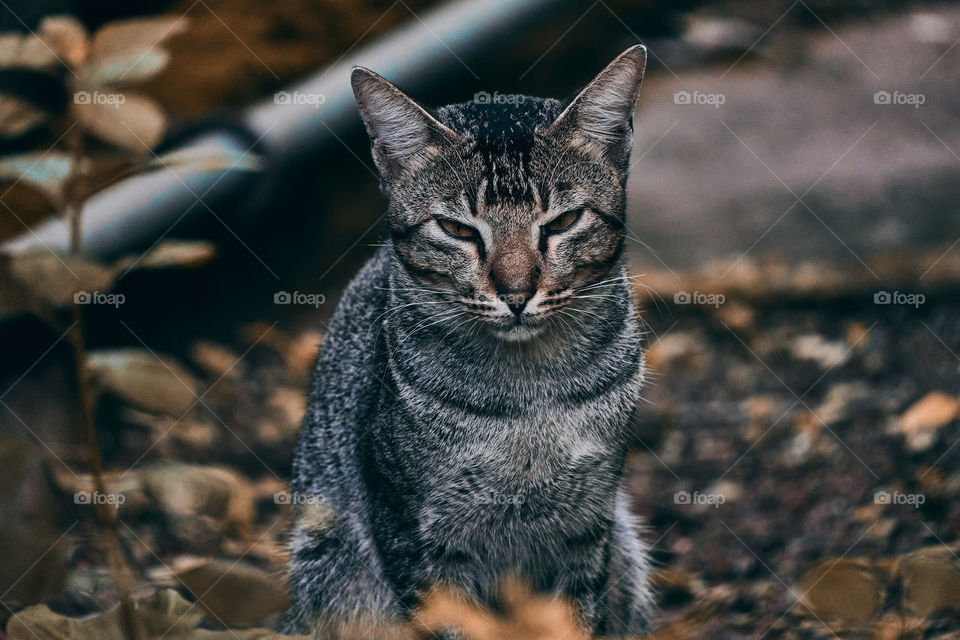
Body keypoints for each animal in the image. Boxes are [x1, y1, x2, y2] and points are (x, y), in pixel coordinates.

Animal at [282, 43, 648, 636]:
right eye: (456, 230)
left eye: (563, 221)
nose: (517, 292)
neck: (531, 394)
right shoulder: (413, 531)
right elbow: (449, 621)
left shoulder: (588, 524)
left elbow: (576, 615)